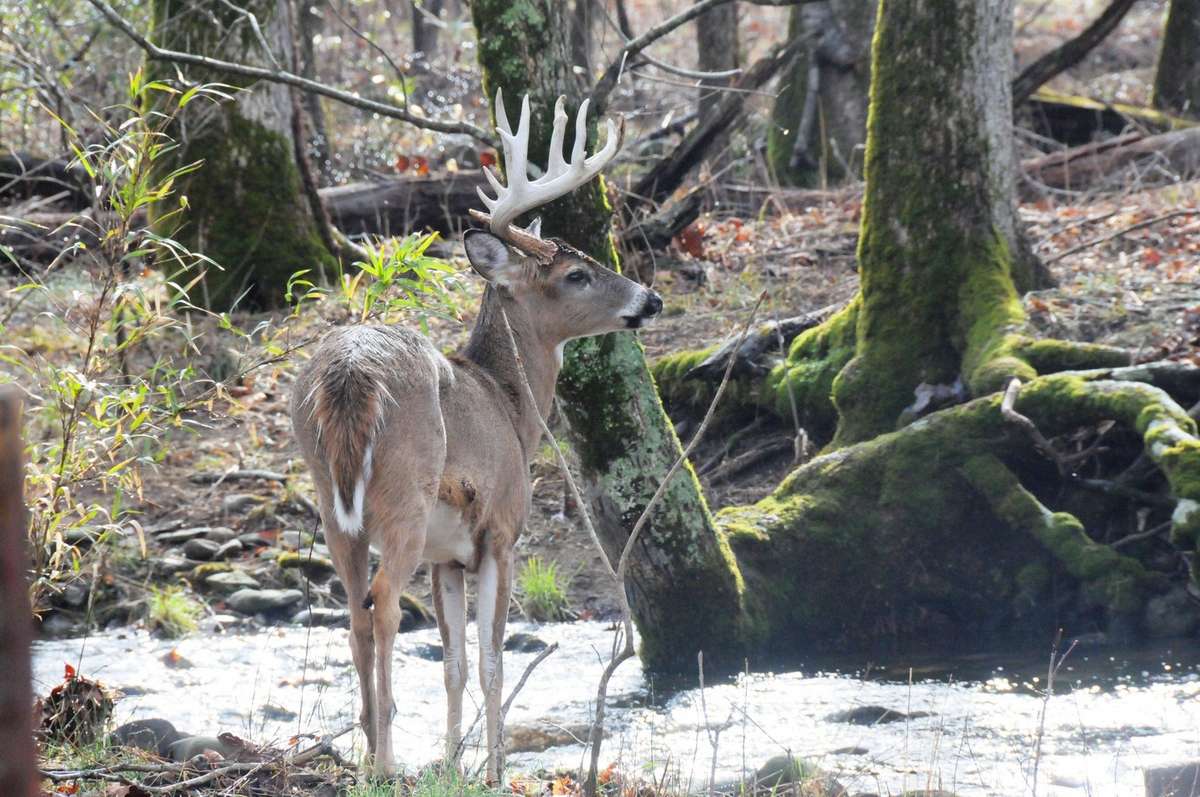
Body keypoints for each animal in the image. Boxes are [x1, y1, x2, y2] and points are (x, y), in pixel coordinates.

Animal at [290, 90, 662, 781]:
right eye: (576, 274)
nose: (649, 299)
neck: (512, 409)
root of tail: (347, 375)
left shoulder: (448, 557)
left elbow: (455, 666)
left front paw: (452, 765)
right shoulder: (501, 531)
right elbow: (491, 663)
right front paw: (489, 771)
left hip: (332, 503)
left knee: (354, 612)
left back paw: (368, 754)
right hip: (404, 494)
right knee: (383, 603)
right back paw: (385, 762)